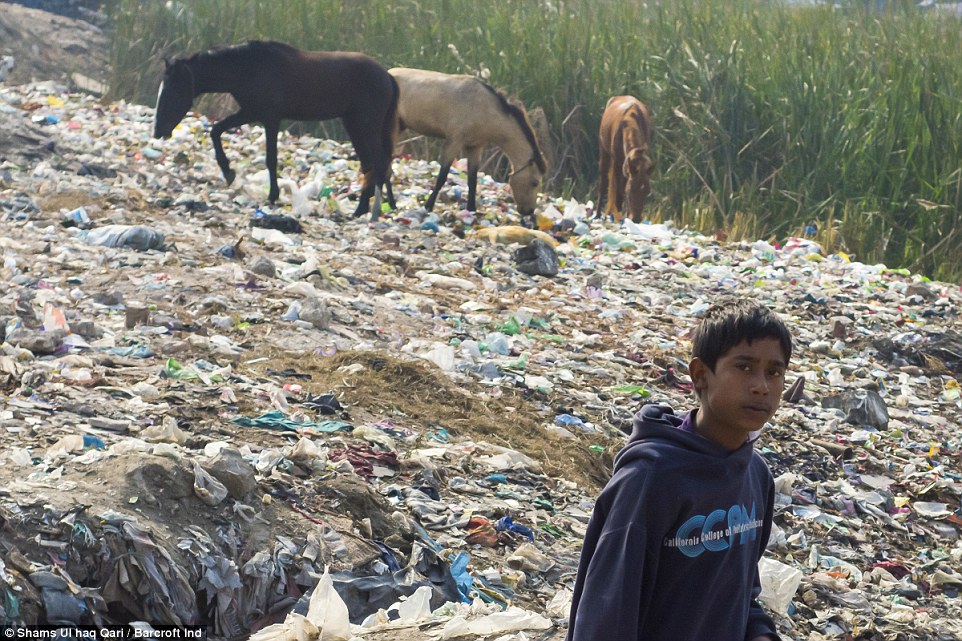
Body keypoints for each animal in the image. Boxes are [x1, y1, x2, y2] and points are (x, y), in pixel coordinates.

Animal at [156, 40, 396, 220]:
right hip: (354, 125)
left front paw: (272, 195)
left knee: (379, 162)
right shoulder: (250, 112)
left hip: (366, 125)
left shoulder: (270, 118)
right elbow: (216, 131)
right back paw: (363, 209)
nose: (158, 131)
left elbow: (271, 158)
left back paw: (373, 210)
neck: (249, 67)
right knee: (370, 164)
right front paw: (228, 171)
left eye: (172, 91)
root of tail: (387, 76)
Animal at [386, 66, 544, 218]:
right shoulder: (454, 142)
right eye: (534, 182)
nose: (529, 211)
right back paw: (391, 204)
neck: (485, 108)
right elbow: (442, 176)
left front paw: (472, 208)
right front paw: (428, 205)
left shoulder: (475, 146)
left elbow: (472, 180)